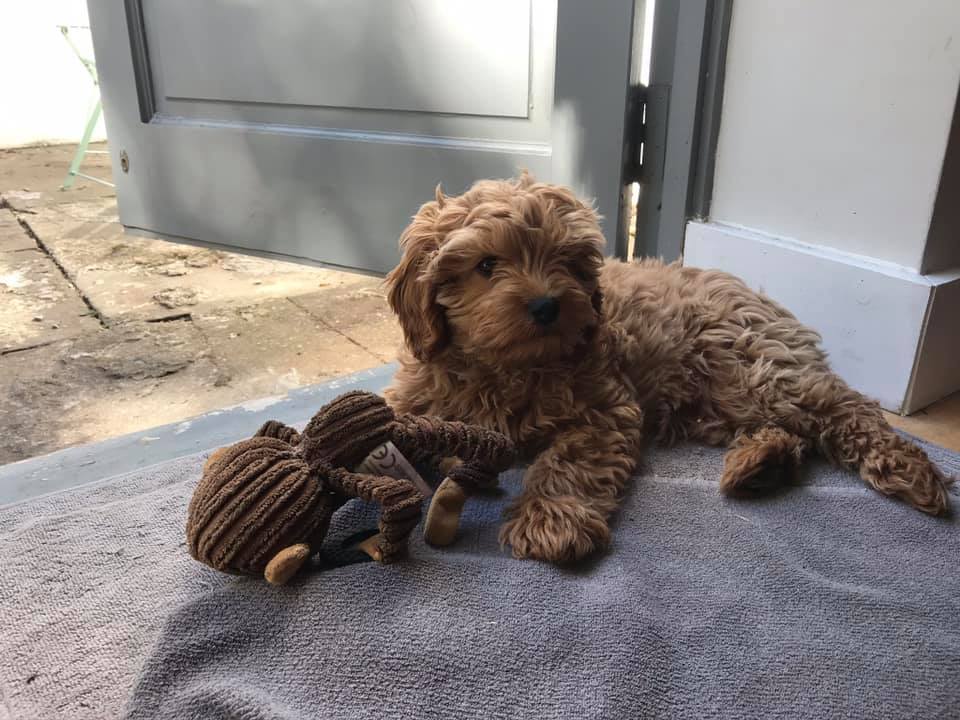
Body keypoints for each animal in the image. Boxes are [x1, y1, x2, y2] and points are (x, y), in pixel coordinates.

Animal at [384, 173, 952, 564]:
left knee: (846, 407)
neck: (506, 367)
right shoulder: (416, 398)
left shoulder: (606, 408)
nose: (548, 305)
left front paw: (551, 522)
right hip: (716, 403)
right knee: (792, 433)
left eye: (567, 261)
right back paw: (761, 464)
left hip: (755, 373)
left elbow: (569, 460)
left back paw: (910, 470)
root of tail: (759, 298)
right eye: (486, 265)